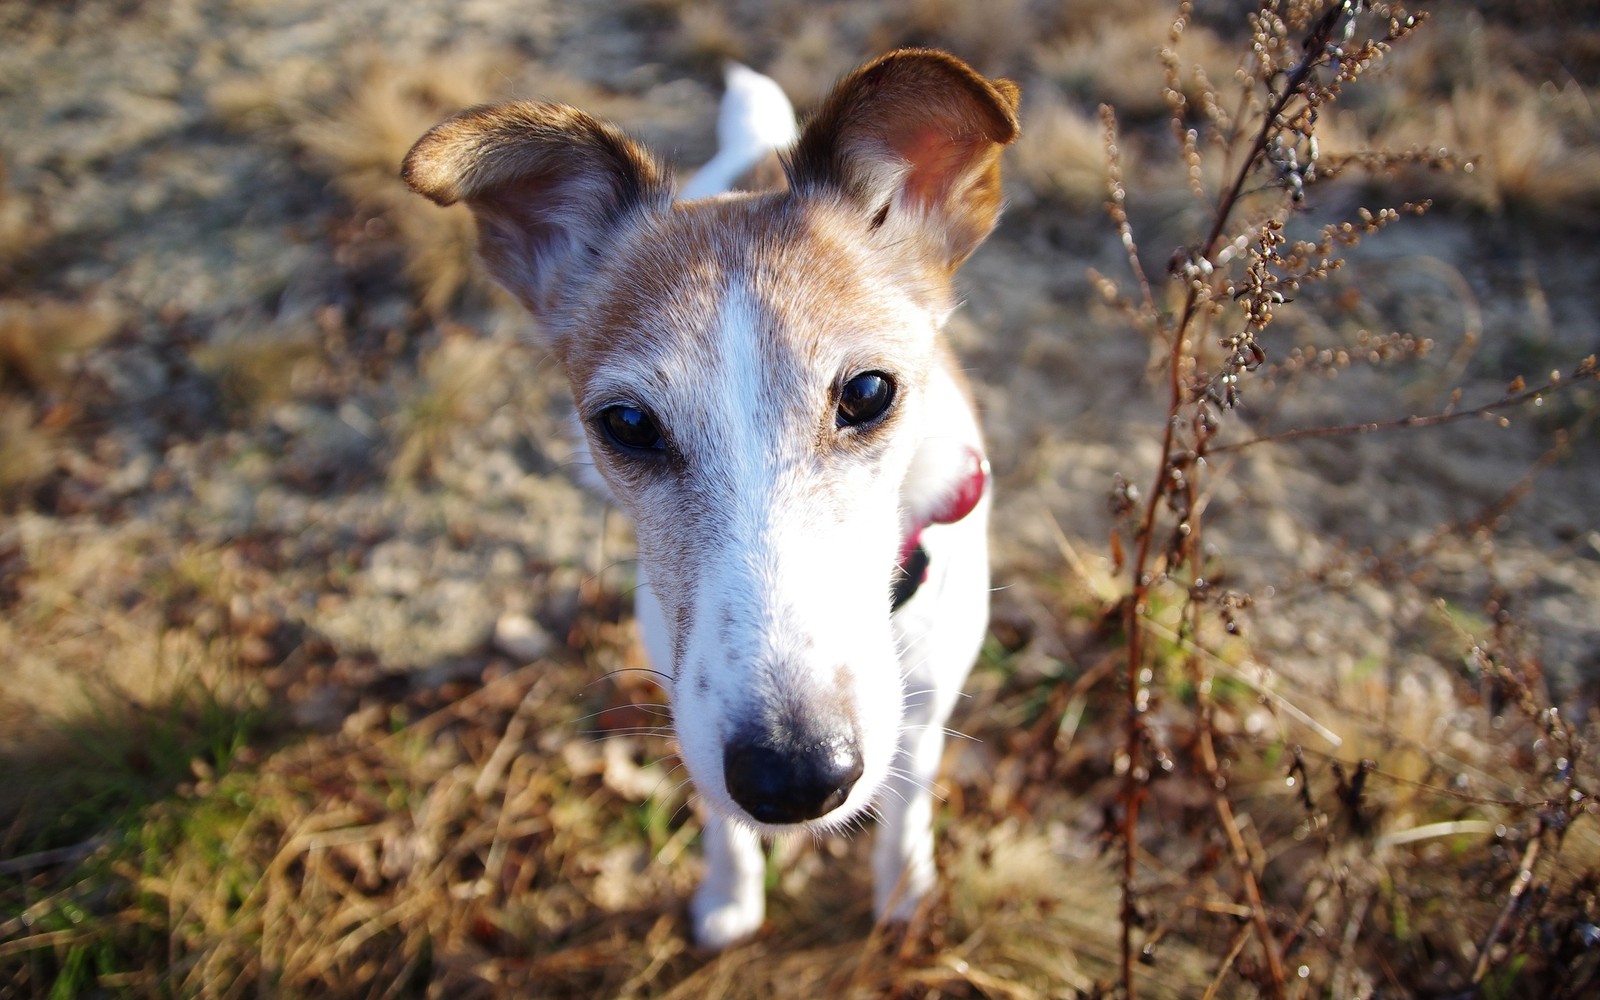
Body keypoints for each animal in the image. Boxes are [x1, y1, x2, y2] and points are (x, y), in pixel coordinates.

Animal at [406, 46, 1017, 947]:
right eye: (628, 423)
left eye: (869, 392)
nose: (795, 777)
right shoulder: (685, 693)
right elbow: (722, 820)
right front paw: (732, 897)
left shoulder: (926, 706)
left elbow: (907, 807)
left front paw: (903, 892)